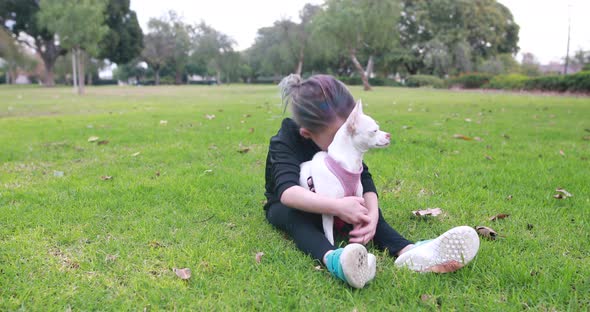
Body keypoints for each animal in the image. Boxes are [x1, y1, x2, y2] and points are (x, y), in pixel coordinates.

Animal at [300, 99, 394, 244]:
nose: (389, 135)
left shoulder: (358, 206)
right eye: (374, 131)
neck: (350, 165)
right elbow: (329, 237)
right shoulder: (328, 213)